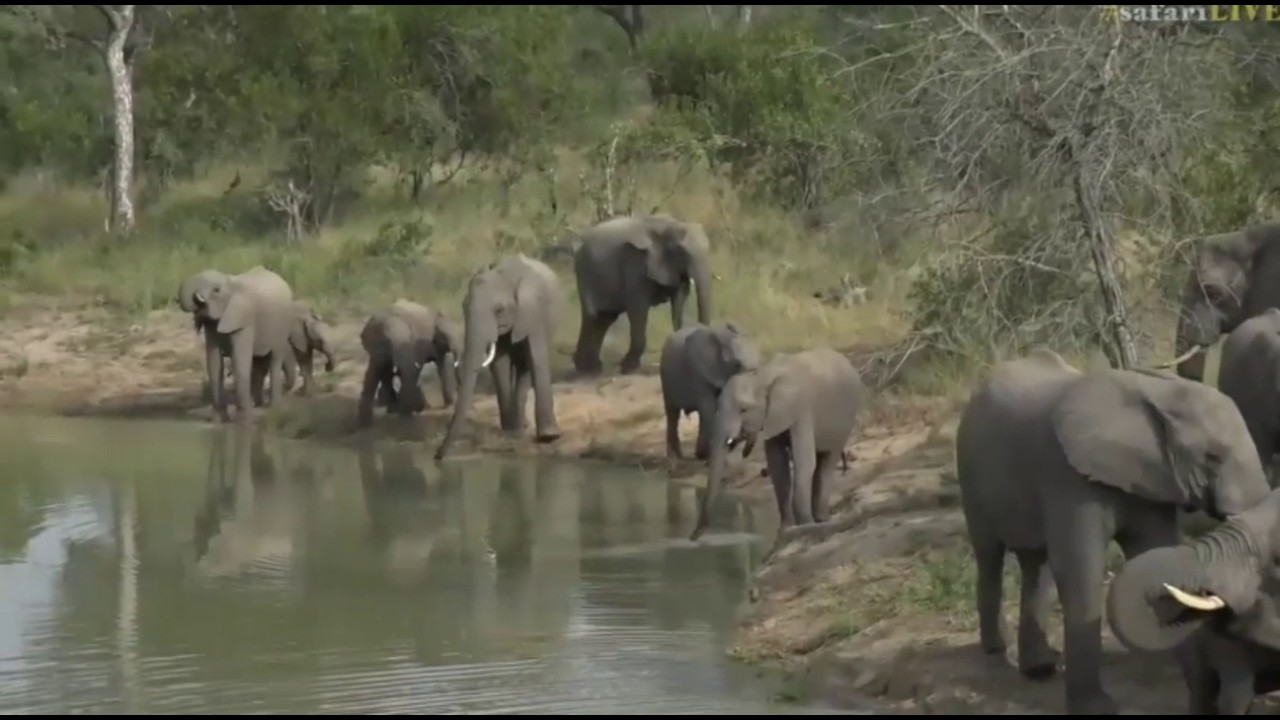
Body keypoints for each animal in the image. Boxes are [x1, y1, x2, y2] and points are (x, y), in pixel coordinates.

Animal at [178, 266, 298, 422]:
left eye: (216, 290)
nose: (198, 298)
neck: (231, 283)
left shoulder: (244, 319)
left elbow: (239, 360)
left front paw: (243, 420)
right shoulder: (212, 323)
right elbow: (214, 362)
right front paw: (219, 420)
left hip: (282, 324)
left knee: (274, 359)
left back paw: (273, 408)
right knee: (258, 362)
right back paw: (257, 405)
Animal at [434, 254, 565, 461]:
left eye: (499, 310)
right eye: (463, 307)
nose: (437, 456)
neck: (505, 275)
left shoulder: (533, 310)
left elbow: (536, 356)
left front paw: (548, 437)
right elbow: (500, 363)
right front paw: (509, 431)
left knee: (525, 365)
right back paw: (519, 425)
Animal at [572, 214, 713, 376]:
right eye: (682, 251)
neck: (667, 225)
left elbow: (679, 300)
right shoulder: (635, 261)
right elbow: (638, 308)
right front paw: (628, 368)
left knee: (604, 320)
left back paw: (593, 368)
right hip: (585, 274)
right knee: (592, 317)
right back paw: (586, 369)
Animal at [659, 321, 761, 461]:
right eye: (737, 365)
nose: (744, 454)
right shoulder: (699, 374)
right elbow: (708, 409)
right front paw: (705, 455)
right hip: (666, 379)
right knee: (672, 414)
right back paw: (676, 457)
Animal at [689, 347, 865, 543]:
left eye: (743, 410)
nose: (692, 537)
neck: (763, 375)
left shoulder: (801, 409)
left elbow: (804, 461)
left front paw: (804, 524)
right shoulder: (772, 418)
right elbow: (777, 465)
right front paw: (785, 530)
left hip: (846, 420)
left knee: (827, 461)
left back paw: (820, 519)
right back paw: (820, 520)